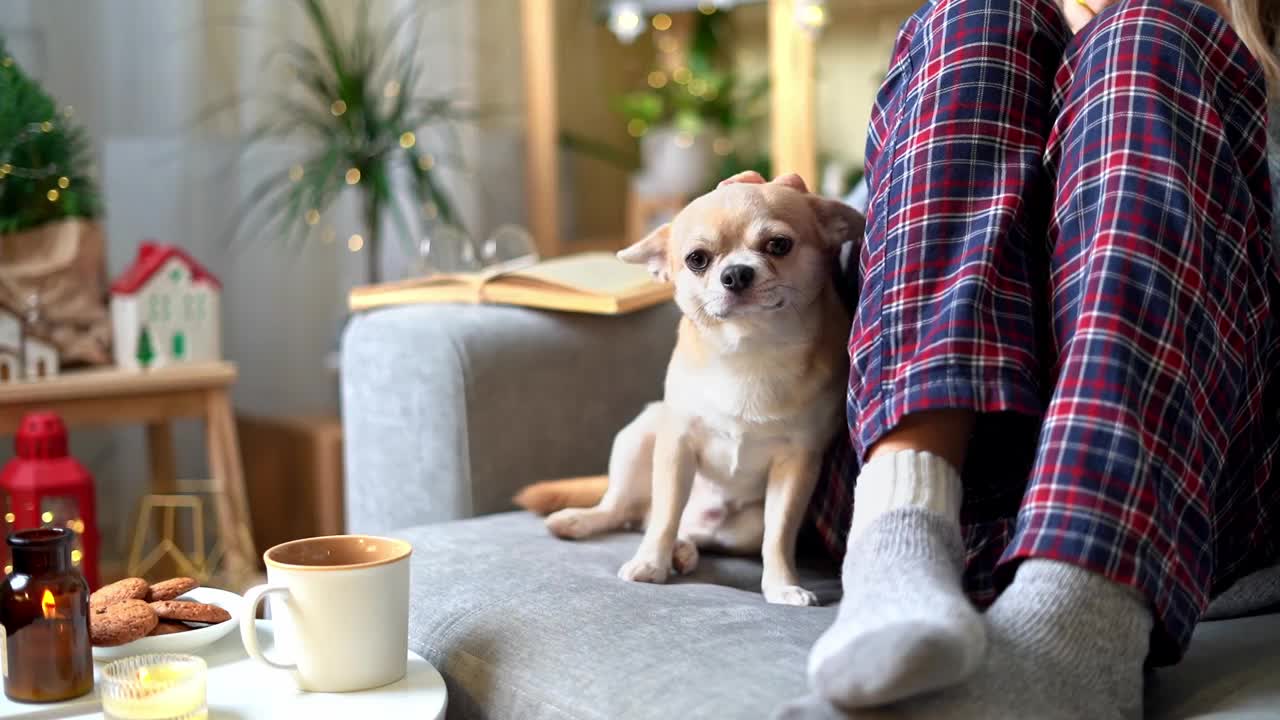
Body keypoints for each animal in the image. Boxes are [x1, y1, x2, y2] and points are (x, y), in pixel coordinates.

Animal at [517, 174, 860, 604]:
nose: (736, 273)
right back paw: (583, 521)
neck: (749, 349)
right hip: (640, 436)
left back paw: (684, 551)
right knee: (627, 510)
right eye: (697, 259)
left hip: (743, 525)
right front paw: (650, 564)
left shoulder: (798, 463)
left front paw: (783, 586)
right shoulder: (676, 445)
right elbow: (665, 516)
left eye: (779, 245)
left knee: (679, 528)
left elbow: (778, 536)